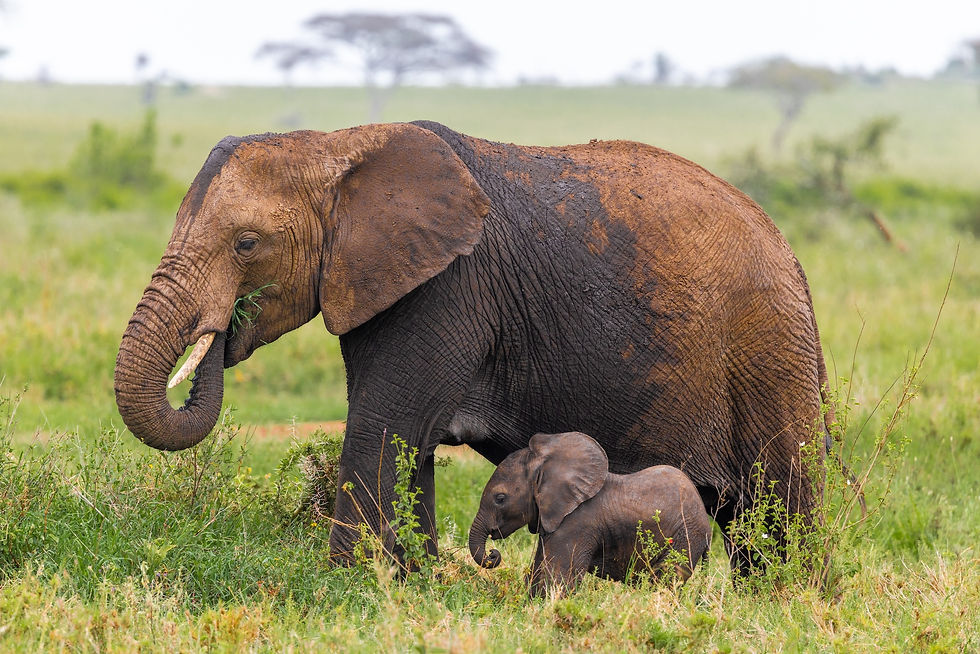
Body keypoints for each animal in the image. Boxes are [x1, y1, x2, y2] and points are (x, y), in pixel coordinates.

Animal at [114, 120, 830, 574]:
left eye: (246, 244)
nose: (224, 330)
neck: (338, 144)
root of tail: (791, 252)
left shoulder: (445, 288)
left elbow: (382, 428)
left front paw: (348, 584)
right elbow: (412, 443)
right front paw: (413, 581)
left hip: (770, 351)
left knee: (781, 506)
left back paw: (793, 602)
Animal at [469, 431, 711, 596]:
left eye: (500, 498)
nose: (493, 553)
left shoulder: (577, 524)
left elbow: (558, 580)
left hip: (686, 537)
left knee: (666, 580)